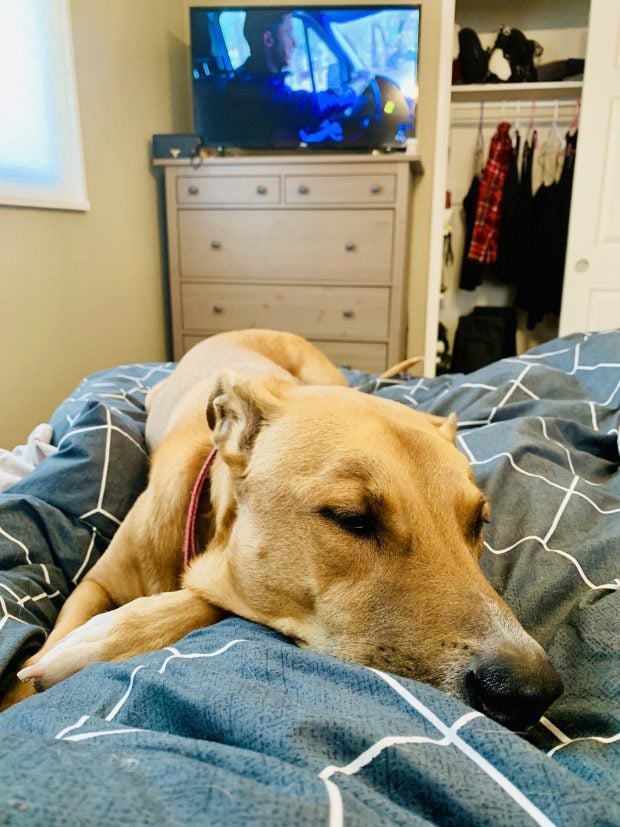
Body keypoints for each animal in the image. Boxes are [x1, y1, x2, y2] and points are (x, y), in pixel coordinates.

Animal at [3, 326, 560, 728]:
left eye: (477, 523)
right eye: (351, 519)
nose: (530, 692)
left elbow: (200, 599)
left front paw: (104, 639)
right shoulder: (97, 582)